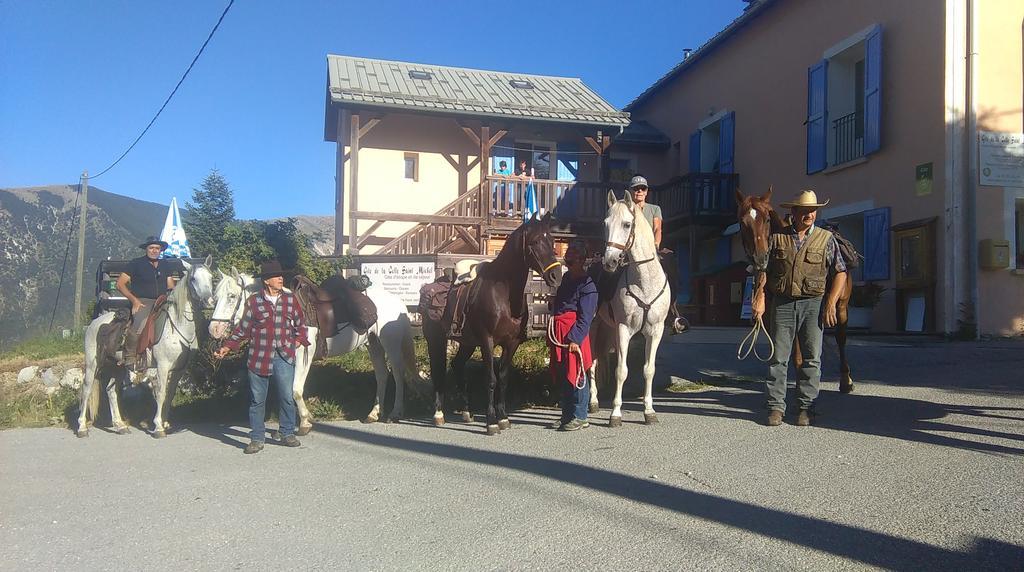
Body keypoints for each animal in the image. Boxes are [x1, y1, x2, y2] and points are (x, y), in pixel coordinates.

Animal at [78, 259, 217, 437]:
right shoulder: (163, 366)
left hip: (116, 367)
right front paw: (158, 427)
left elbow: (170, 394)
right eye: (193, 279)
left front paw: (165, 423)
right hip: (92, 364)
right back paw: (82, 427)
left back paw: (120, 425)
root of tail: (94, 323)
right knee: (86, 389)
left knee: (111, 391)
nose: (209, 302)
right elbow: (161, 393)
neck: (176, 326)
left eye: (211, 277)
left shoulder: (179, 370)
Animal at [209, 270, 421, 433]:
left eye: (232, 296)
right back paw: (374, 413)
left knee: (398, 374)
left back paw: (395, 412)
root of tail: (399, 303)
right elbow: (287, 390)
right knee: (382, 375)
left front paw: (304, 421)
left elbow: (295, 389)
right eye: (215, 297)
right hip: (373, 343)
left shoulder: (304, 355)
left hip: (390, 344)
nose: (214, 330)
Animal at [421, 212, 561, 435]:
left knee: (457, 365)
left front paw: (503, 417)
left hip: (467, 343)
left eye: (552, 241)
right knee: (438, 372)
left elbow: (503, 379)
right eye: (535, 242)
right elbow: (491, 379)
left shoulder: (511, 343)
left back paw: (466, 412)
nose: (556, 276)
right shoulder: (487, 341)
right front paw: (491, 422)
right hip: (436, 340)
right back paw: (438, 414)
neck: (503, 294)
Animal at [589, 191, 667, 425]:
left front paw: (649, 411)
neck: (644, 282)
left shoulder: (655, 331)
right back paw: (592, 402)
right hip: (593, 328)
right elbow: (621, 371)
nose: (609, 262)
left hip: (607, 330)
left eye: (626, 224)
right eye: (605, 224)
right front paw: (615, 414)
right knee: (589, 363)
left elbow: (649, 370)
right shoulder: (623, 329)